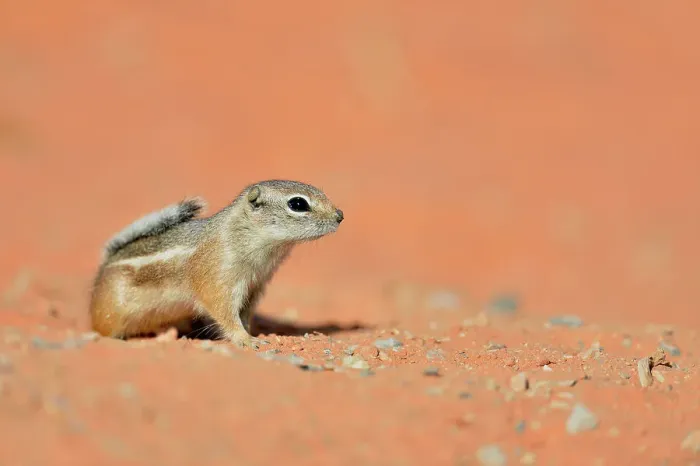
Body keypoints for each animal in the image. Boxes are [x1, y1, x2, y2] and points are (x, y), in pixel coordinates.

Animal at [89, 179, 344, 349]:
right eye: (298, 204)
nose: (340, 215)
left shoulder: (255, 287)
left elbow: (245, 315)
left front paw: (251, 333)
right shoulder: (217, 278)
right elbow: (224, 312)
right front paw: (246, 339)